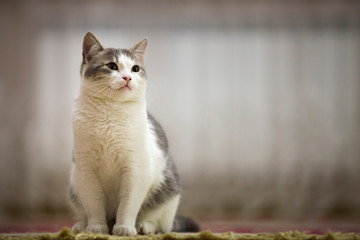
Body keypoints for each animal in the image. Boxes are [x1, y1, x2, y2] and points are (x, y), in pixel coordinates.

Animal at [69, 32, 198, 236]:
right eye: (112, 66)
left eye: (135, 68)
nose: (128, 77)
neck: (110, 114)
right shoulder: (86, 171)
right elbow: (94, 205)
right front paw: (96, 228)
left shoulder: (136, 171)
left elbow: (128, 206)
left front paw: (124, 228)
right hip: (74, 186)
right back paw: (82, 225)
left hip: (168, 190)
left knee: (160, 223)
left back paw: (144, 227)